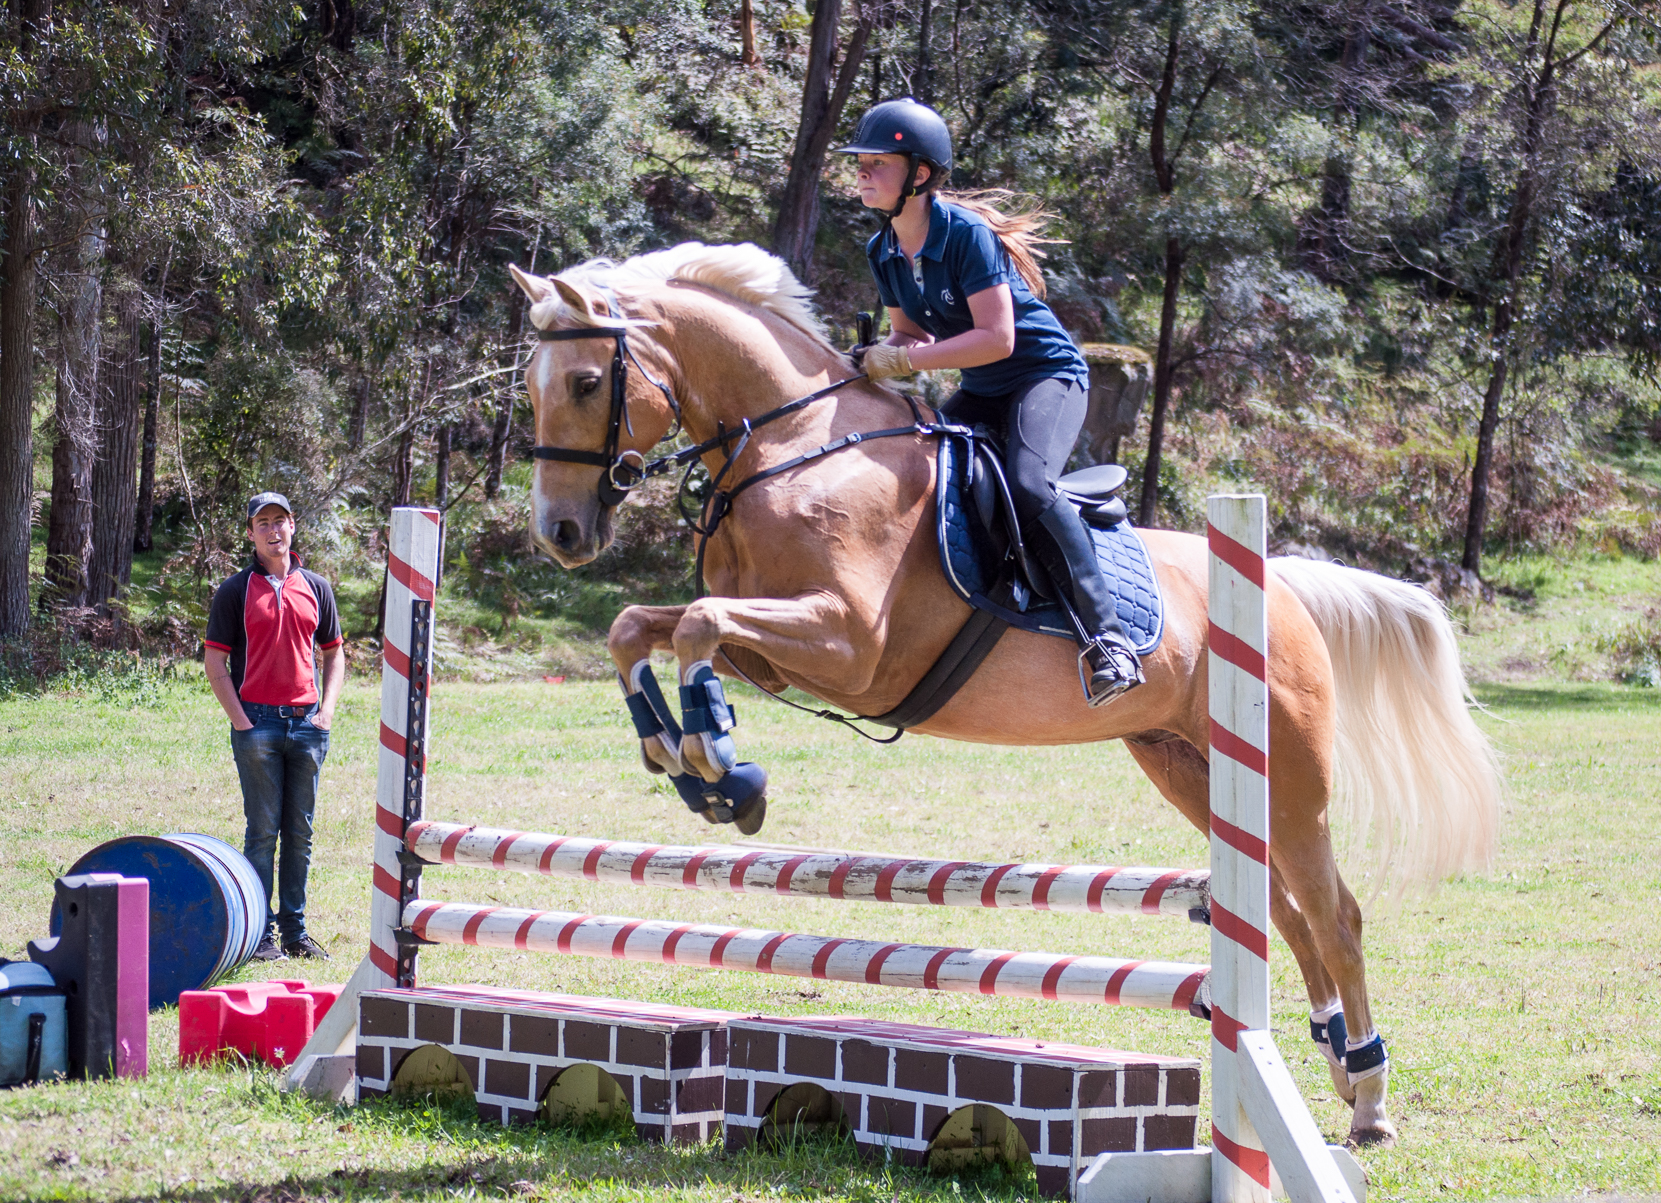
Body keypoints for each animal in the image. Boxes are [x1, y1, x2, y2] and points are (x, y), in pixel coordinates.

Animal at [506, 243, 1502, 1149]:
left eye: (588, 382)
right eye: (534, 389)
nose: (559, 532)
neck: (795, 450)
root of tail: (1277, 584)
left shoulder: (849, 643)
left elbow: (698, 627)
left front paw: (719, 766)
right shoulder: (779, 653)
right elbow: (642, 627)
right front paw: (678, 757)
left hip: (1290, 774)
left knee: (1334, 913)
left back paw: (1368, 1095)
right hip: (1185, 765)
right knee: (1289, 913)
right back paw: (1333, 1061)